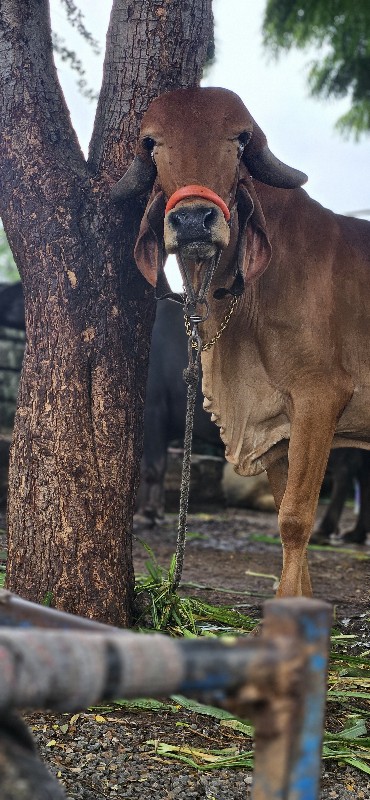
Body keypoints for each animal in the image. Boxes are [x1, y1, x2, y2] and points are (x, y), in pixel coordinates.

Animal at [112, 89, 370, 600]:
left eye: (239, 141)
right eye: (152, 143)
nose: (193, 220)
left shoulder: (320, 399)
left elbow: (294, 519)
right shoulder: (276, 423)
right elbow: (286, 510)